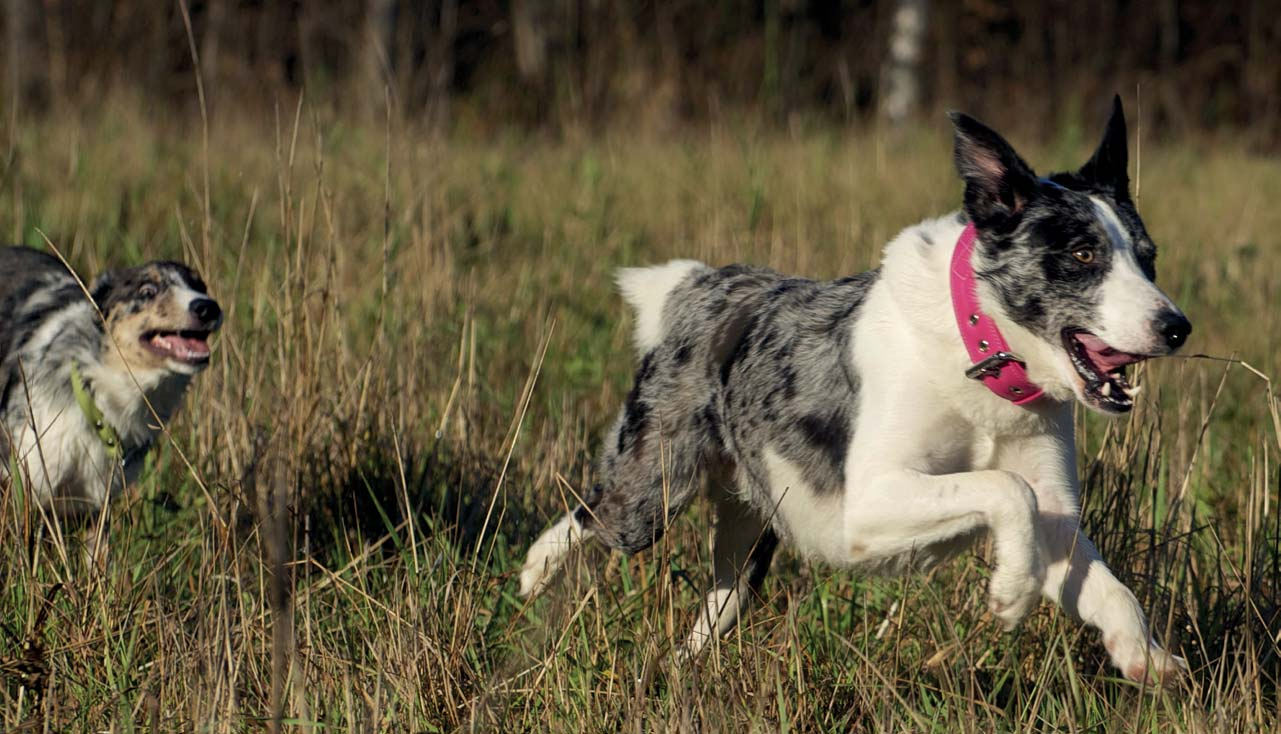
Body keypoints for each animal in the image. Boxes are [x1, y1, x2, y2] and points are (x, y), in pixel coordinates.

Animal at [517, 98, 1188, 686]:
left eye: (1149, 259)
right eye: (1083, 253)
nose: (1177, 327)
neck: (979, 353)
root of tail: (700, 286)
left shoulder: (1054, 513)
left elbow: (1107, 585)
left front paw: (1146, 658)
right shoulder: (869, 502)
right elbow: (1004, 487)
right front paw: (1011, 595)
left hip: (752, 528)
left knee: (720, 601)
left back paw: (680, 673)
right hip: (653, 493)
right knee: (589, 514)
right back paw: (532, 575)